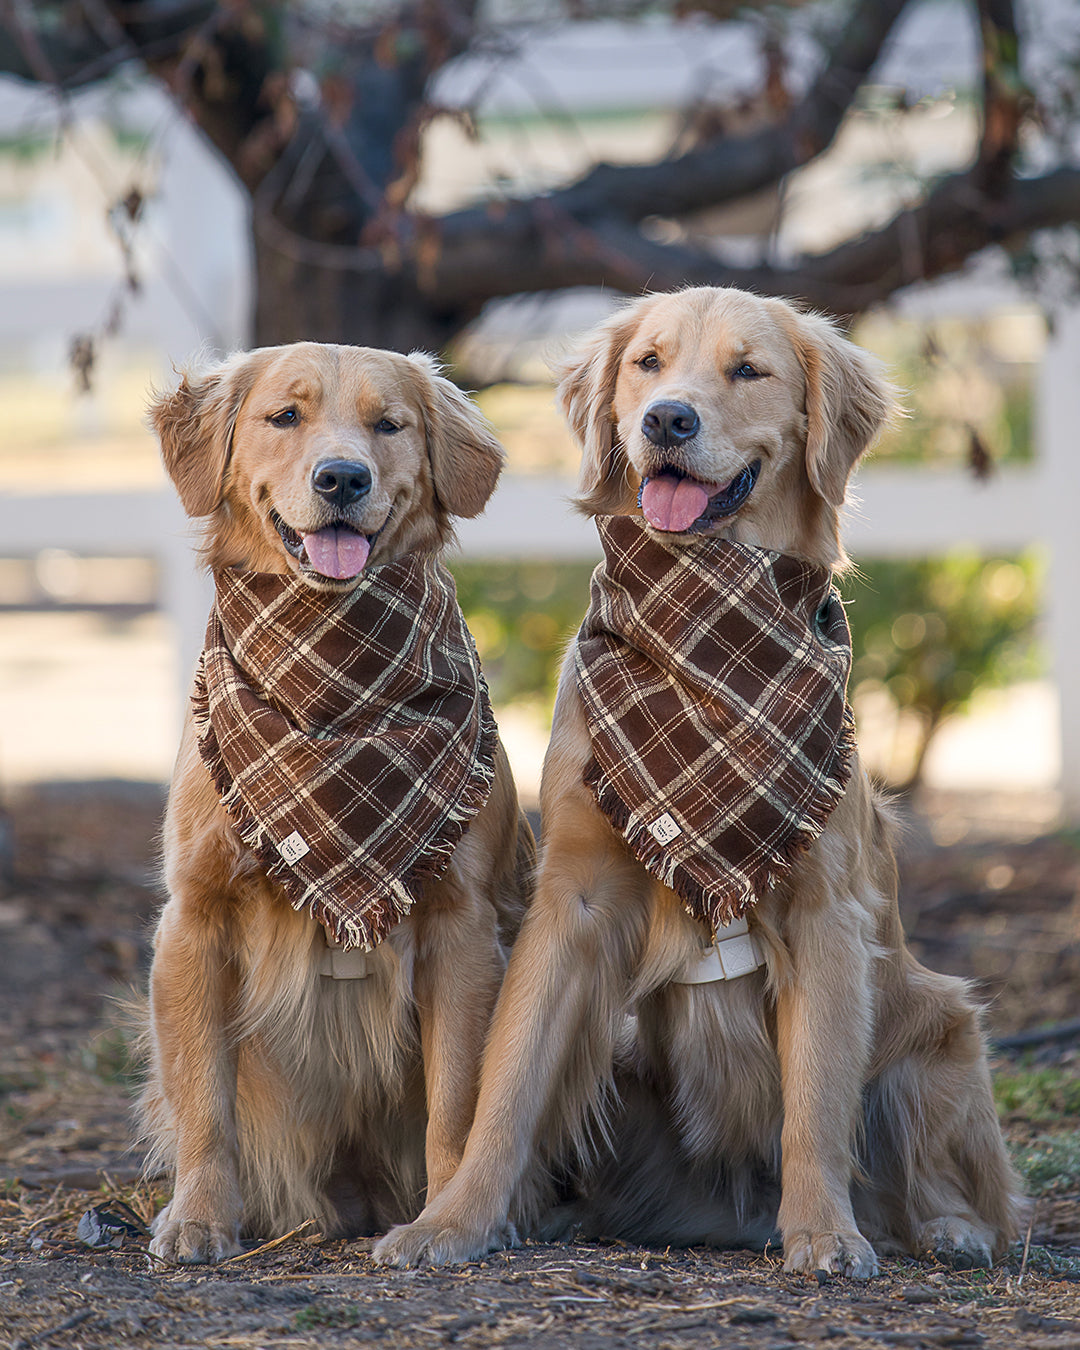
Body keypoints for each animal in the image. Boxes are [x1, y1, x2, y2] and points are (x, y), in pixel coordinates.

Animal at [139, 340, 534, 1263]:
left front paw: (444, 1222)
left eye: (389, 425)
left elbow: (457, 1100)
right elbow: (203, 1100)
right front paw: (199, 1216)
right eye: (285, 416)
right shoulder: (194, 916)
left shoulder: (461, 924)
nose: (343, 477)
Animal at [378, 284, 1020, 1274]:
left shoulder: (825, 910)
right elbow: (508, 1083)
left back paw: (947, 1229)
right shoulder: (573, 899)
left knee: (948, 1180)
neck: (701, 642)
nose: (666, 420)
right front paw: (453, 1220)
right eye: (648, 363)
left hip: (941, 1027)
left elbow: (816, 1102)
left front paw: (824, 1233)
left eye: (748, 370)